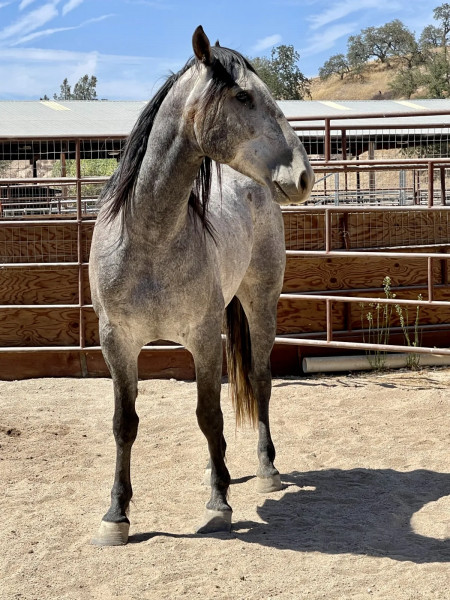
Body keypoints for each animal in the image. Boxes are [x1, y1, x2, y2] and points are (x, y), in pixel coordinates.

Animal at [89, 27, 312, 544]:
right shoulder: (117, 342)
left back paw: (266, 470)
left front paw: (219, 505)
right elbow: (124, 424)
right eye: (244, 96)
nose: (303, 175)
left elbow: (209, 414)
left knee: (260, 379)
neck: (149, 236)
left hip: (260, 302)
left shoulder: (204, 338)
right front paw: (116, 515)